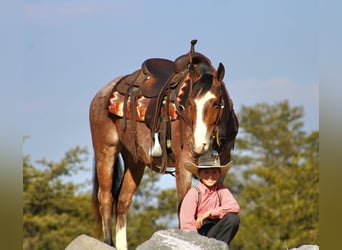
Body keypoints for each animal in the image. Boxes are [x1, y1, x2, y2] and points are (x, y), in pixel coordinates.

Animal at [89, 40, 238, 249]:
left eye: (216, 103)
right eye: (189, 104)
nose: (199, 145)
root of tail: (102, 93)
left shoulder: (222, 162)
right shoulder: (184, 163)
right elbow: (183, 207)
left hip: (135, 161)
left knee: (123, 202)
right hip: (106, 151)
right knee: (106, 197)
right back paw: (108, 242)